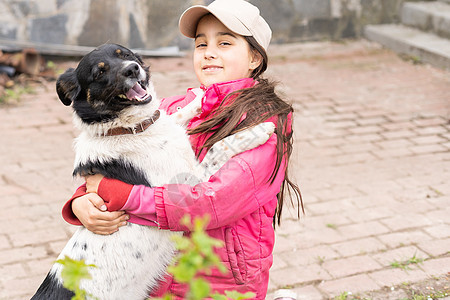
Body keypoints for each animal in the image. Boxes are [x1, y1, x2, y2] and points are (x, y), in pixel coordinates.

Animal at [31, 43, 272, 298]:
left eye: (125, 55)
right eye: (99, 72)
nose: (132, 69)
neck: (129, 129)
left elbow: (172, 114)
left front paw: (198, 98)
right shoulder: (187, 185)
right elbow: (219, 147)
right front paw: (257, 131)